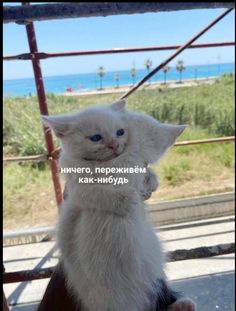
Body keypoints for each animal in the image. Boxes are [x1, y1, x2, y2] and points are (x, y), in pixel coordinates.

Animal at [42, 100, 195, 311]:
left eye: (120, 132)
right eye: (96, 138)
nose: (115, 145)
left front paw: (150, 181)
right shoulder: (77, 188)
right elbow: (93, 194)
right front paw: (126, 200)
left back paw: (181, 304)